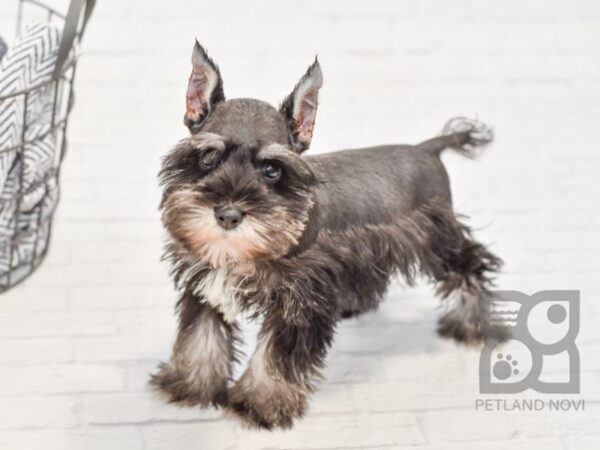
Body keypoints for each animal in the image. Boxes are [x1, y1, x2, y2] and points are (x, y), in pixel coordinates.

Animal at [150, 41, 502, 428]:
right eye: (208, 157)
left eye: (272, 169)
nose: (227, 215)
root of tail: (428, 148)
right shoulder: (205, 284)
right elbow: (200, 336)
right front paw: (190, 384)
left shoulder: (299, 305)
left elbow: (275, 357)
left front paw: (260, 402)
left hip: (441, 241)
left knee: (472, 273)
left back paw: (475, 326)